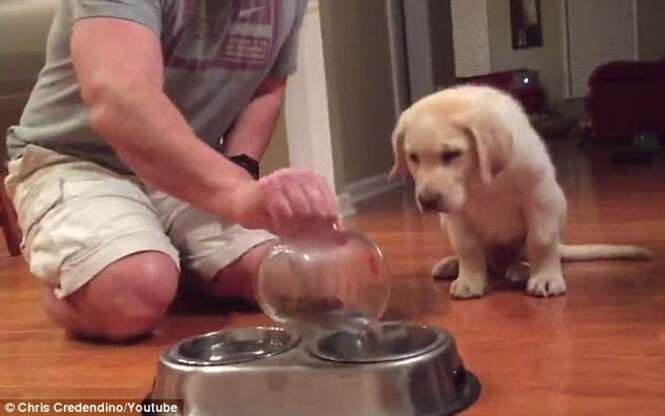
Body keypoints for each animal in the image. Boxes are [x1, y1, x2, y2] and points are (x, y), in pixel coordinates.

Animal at [390, 85, 648, 300]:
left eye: (452, 154)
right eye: (413, 158)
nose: (427, 201)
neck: (481, 180)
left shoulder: (540, 197)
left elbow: (540, 240)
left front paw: (545, 278)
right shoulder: (456, 216)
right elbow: (467, 247)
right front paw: (469, 280)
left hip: (557, 207)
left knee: (531, 252)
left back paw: (521, 269)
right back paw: (453, 264)